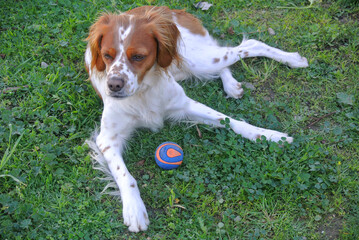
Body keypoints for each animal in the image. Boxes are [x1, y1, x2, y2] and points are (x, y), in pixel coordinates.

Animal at [85, 5, 310, 231]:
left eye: (139, 56)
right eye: (106, 55)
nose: (113, 85)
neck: (142, 92)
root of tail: (167, 9)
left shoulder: (185, 104)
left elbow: (231, 121)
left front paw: (270, 135)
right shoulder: (107, 139)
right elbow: (125, 174)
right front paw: (134, 209)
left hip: (196, 59)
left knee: (248, 45)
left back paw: (293, 60)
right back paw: (232, 86)